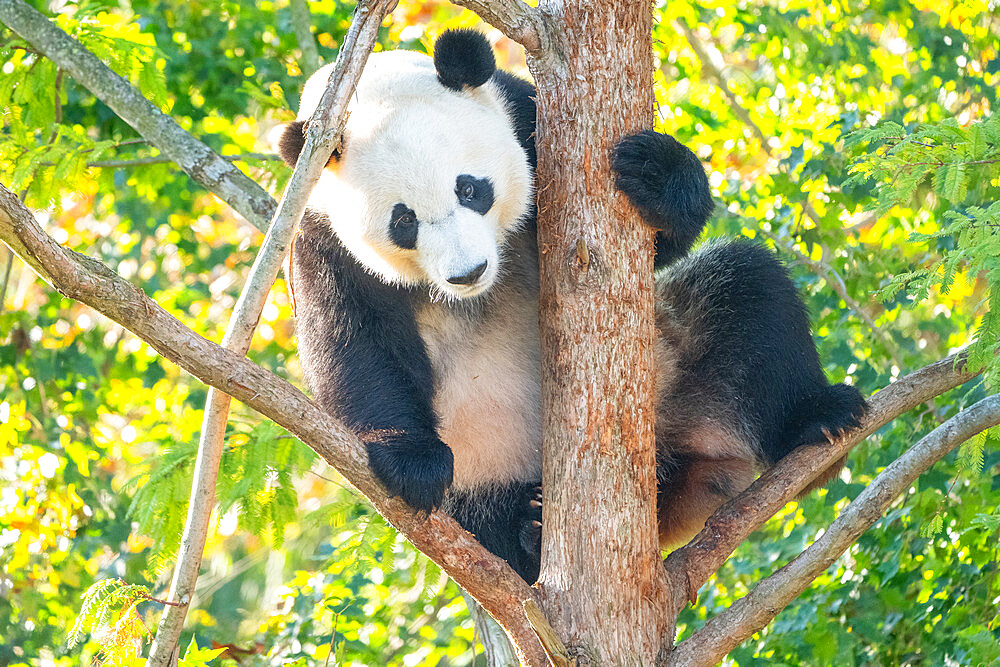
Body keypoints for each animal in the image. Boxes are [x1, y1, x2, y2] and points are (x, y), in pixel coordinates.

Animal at [276, 30, 868, 584]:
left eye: (470, 189)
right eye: (404, 221)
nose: (467, 273)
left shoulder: (530, 126)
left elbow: (655, 247)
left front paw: (653, 175)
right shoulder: (316, 231)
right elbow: (354, 342)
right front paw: (412, 461)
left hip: (675, 372)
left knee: (748, 294)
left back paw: (818, 424)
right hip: (488, 456)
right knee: (484, 517)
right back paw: (529, 530)